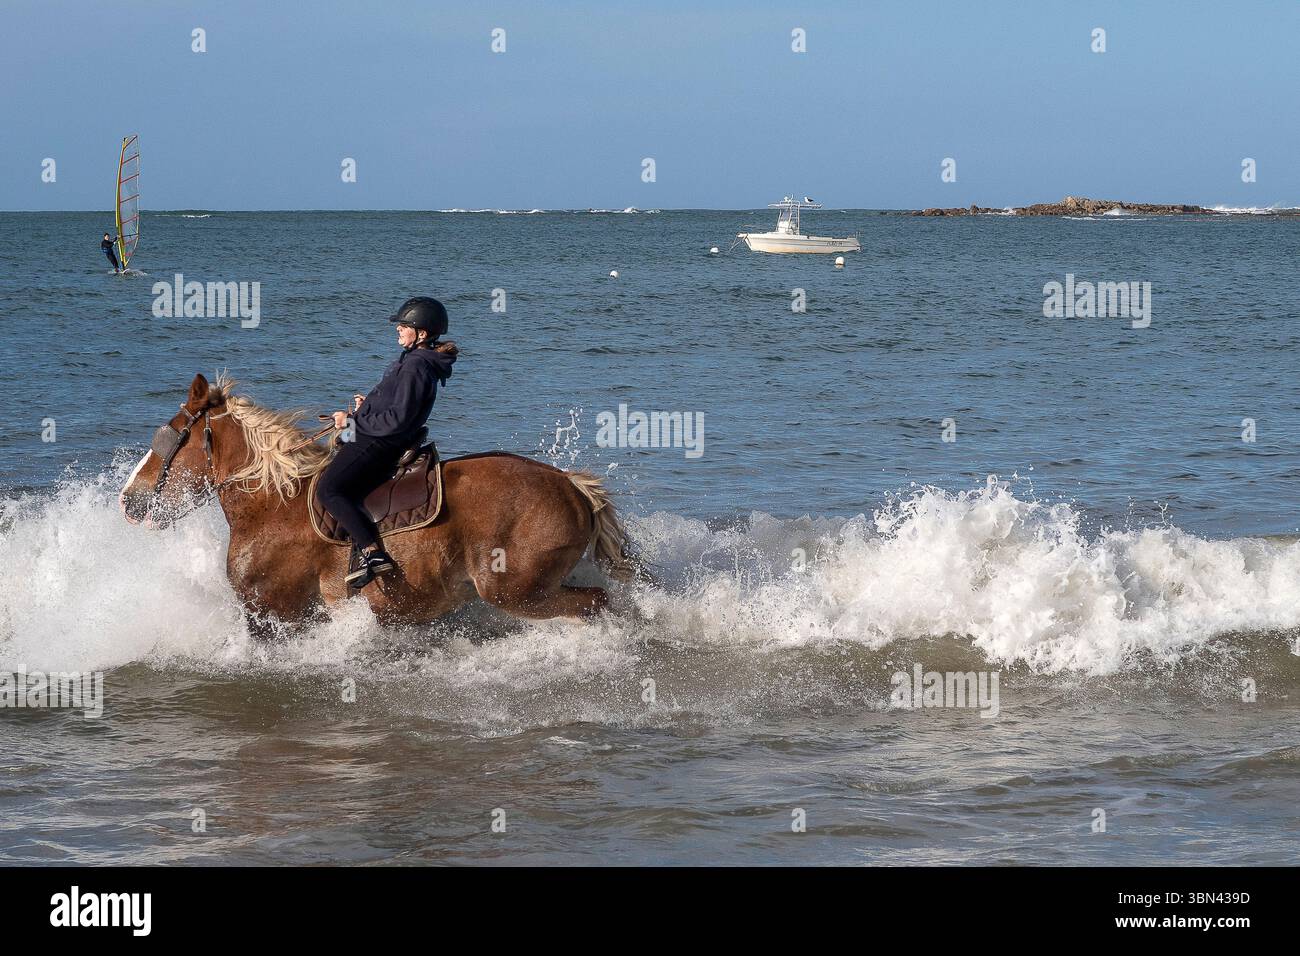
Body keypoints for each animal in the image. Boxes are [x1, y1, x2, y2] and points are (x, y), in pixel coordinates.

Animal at [119, 373, 632, 633]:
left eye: (170, 435)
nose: (129, 501)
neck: (276, 506)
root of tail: (572, 486)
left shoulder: (274, 613)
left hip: (517, 590)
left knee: (595, 602)